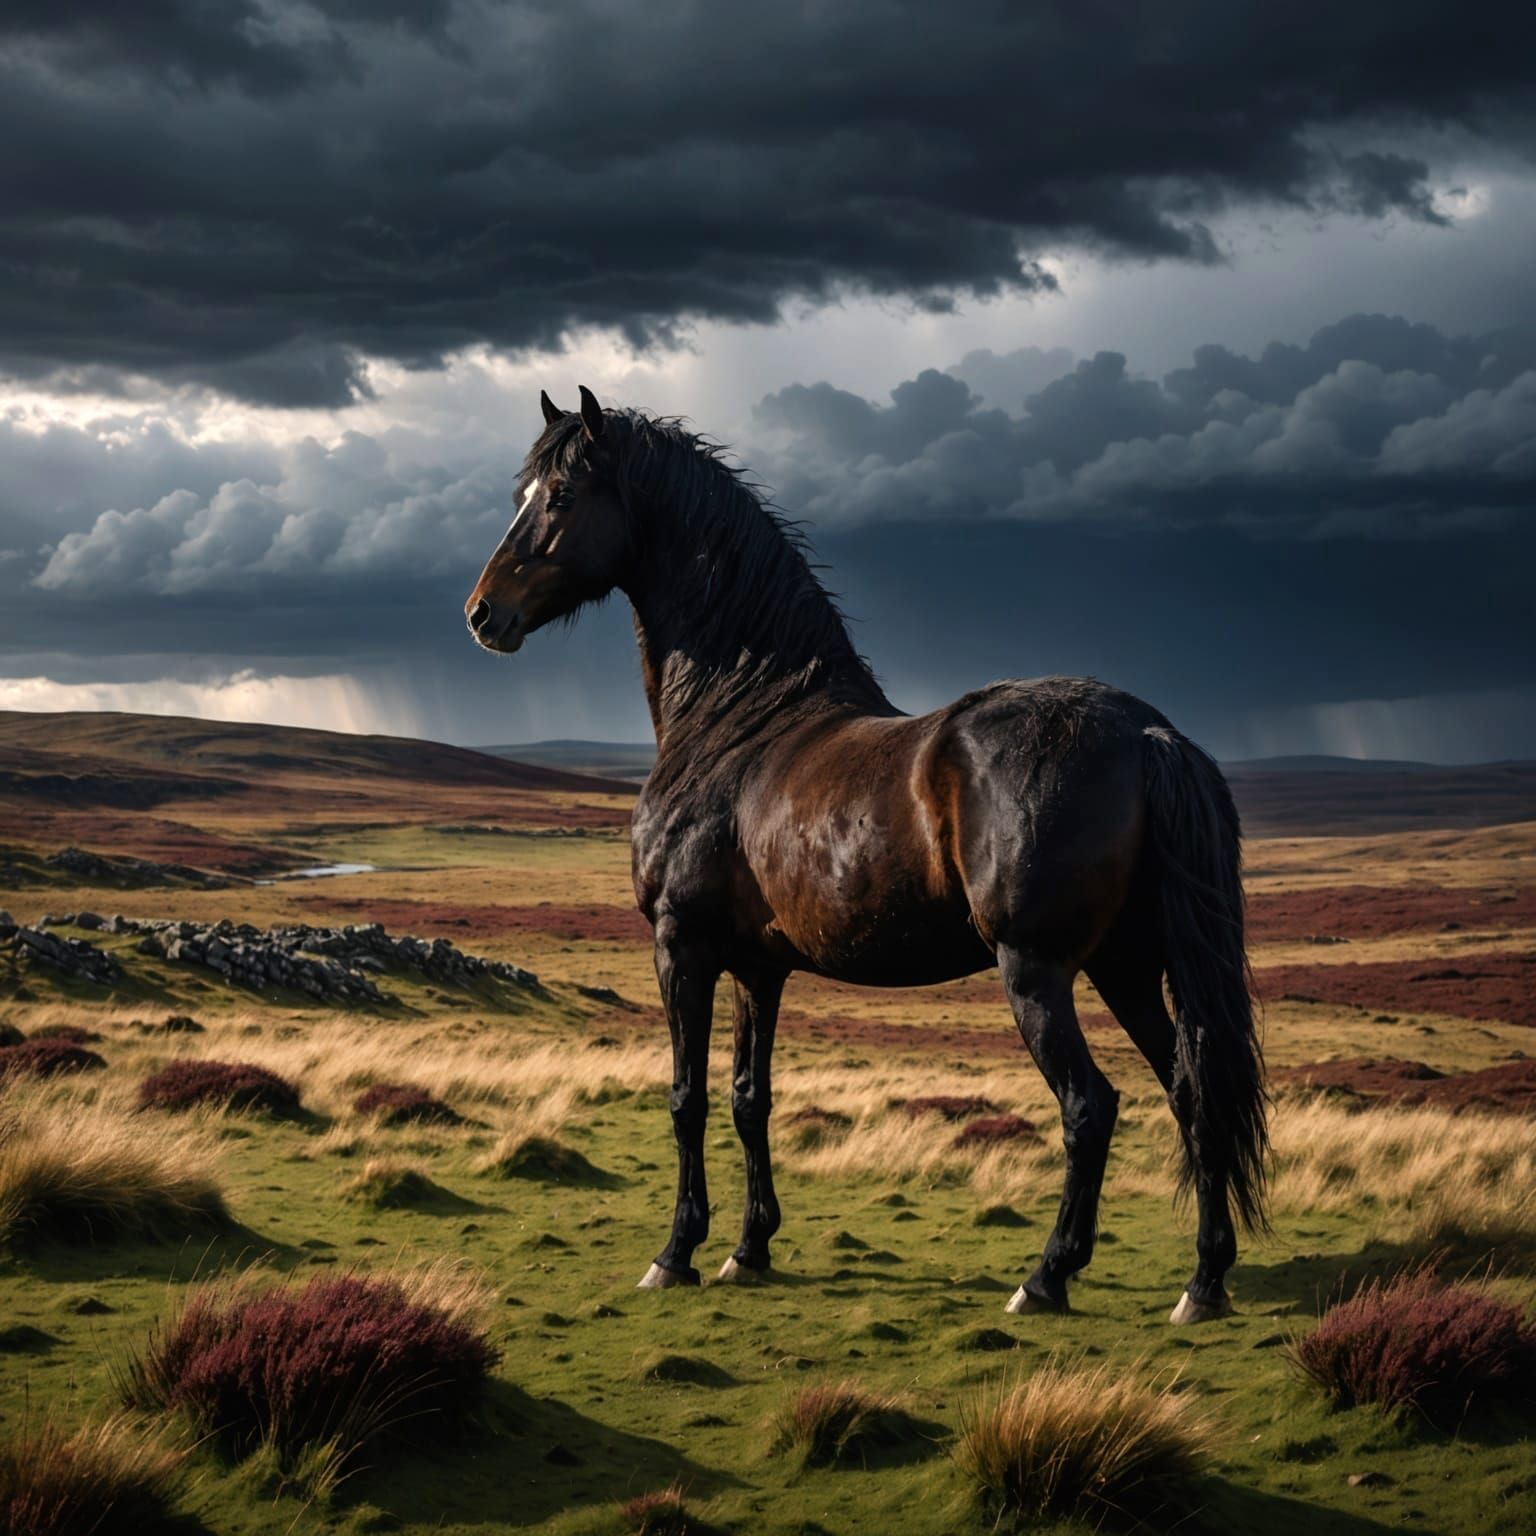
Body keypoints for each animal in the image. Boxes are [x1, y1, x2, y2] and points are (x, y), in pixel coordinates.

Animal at [465, 385, 1268, 1325]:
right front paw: (749, 1248)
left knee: (1089, 1107)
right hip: (1130, 966)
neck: (739, 719)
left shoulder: (680, 947)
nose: (483, 614)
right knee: (1192, 1091)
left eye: (558, 497)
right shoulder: (757, 969)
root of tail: (1147, 735)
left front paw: (676, 1253)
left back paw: (1046, 1277)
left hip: (1037, 971)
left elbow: (686, 1098)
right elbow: (749, 1099)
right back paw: (1203, 1281)